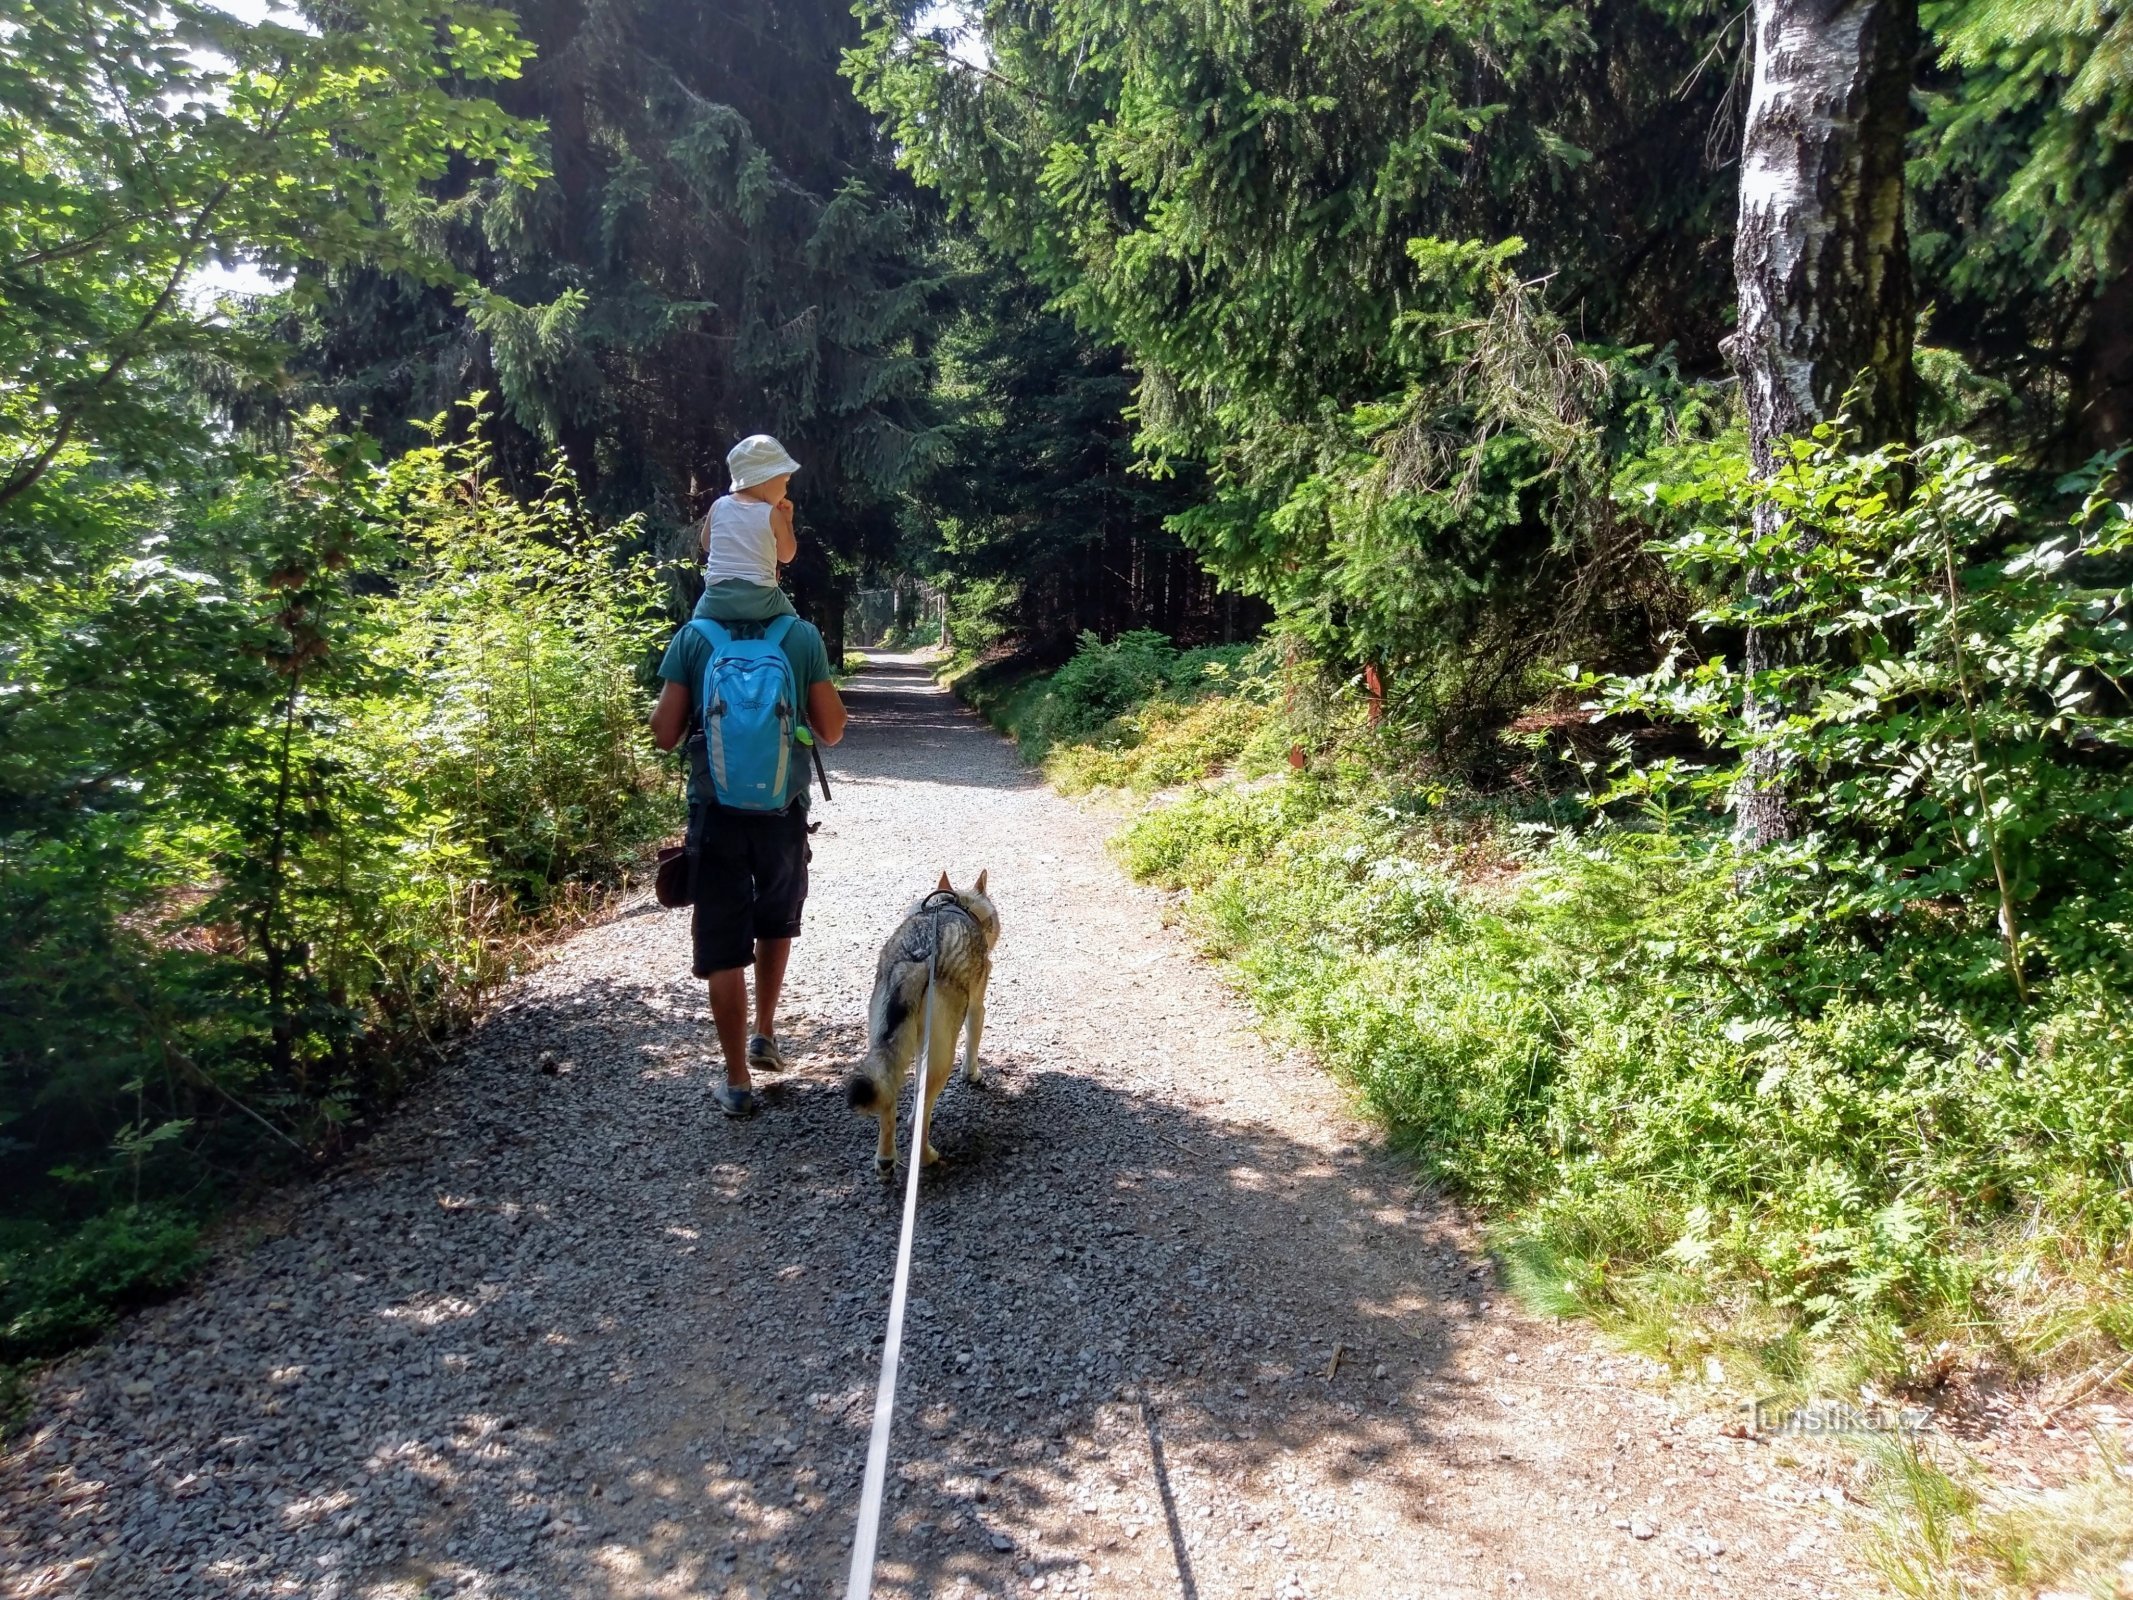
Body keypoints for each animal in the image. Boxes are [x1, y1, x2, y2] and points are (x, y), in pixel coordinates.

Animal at [840, 870, 998, 1169]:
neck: (956, 907)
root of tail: (916, 961)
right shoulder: (977, 1009)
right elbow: (972, 1050)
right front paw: (972, 1074)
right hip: (940, 1062)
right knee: (919, 1117)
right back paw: (926, 1158)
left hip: (883, 1051)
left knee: (888, 1105)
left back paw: (885, 1161)